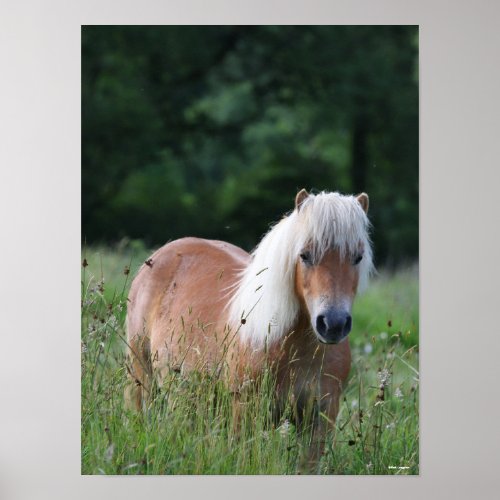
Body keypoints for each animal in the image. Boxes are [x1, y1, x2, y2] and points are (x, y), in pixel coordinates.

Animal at [127, 188, 374, 460]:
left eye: (358, 257)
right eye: (305, 255)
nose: (333, 325)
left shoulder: (319, 418)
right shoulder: (245, 412)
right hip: (143, 380)